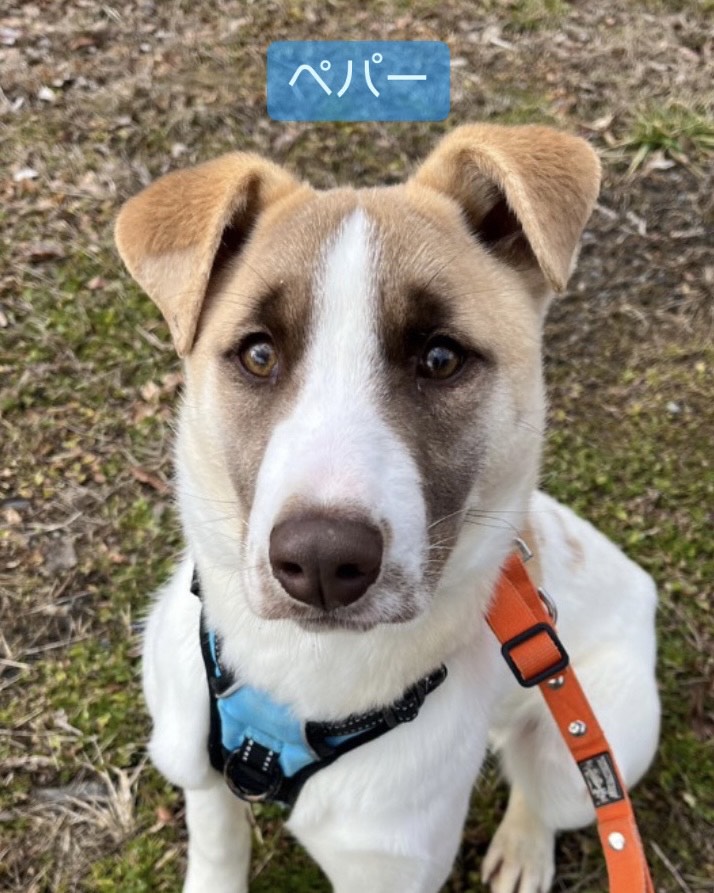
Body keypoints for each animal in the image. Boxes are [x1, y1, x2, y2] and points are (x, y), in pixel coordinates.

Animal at [115, 124, 660, 893]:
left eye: (440, 358)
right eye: (258, 354)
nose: (320, 561)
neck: (302, 672)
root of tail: (643, 588)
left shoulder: (388, 864)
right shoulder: (194, 758)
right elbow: (218, 847)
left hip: (589, 738)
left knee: (550, 792)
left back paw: (525, 850)